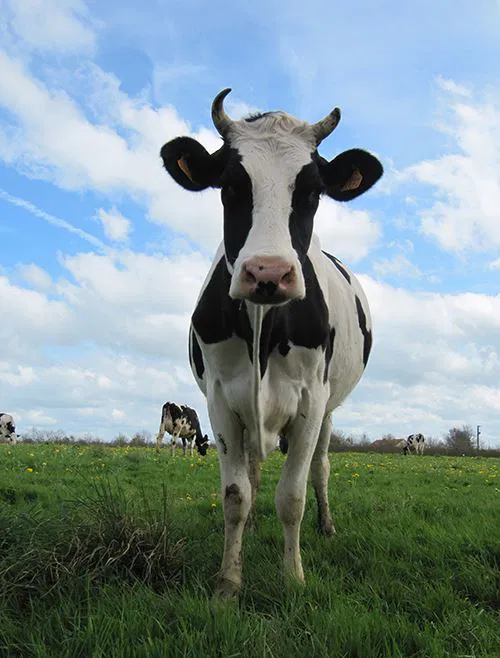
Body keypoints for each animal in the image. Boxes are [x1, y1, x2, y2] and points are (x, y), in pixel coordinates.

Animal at [160, 88, 383, 597]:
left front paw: (293, 577)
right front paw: (228, 580)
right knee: (255, 471)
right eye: (229, 187)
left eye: (312, 192)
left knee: (320, 468)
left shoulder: (311, 400)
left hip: (329, 409)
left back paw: (326, 525)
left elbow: (292, 496)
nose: (268, 273)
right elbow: (236, 493)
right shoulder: (221, 398)